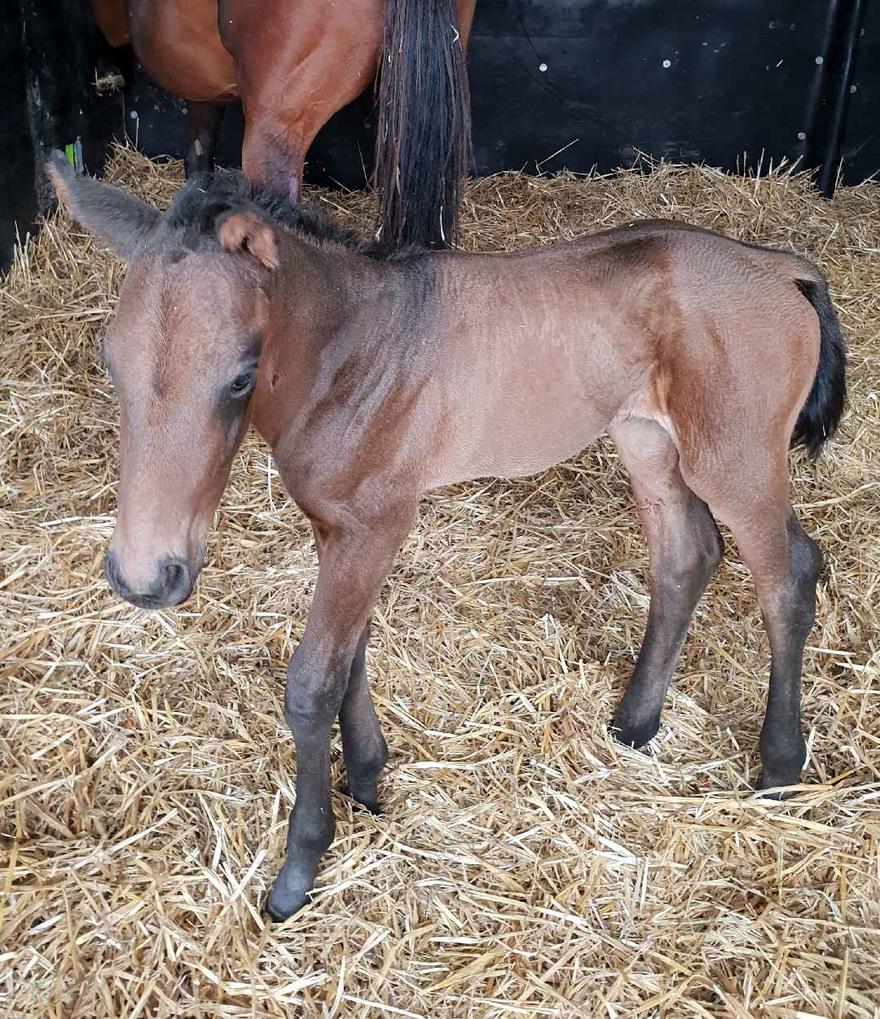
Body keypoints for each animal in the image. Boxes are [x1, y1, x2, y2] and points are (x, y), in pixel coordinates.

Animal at [48, 154, 846, 921]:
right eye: (111, 360)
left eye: (239, 376)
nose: (146, 576)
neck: (351, 351)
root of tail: (780, 265)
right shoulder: (342, 529)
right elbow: (351, 653)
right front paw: (369, 777)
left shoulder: (376, 522)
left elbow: (312, 683)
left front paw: (301, 864)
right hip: (647, 441)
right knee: (686, 555)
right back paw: (635, 722)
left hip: (735, 460)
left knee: (788, 576)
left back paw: (779, 767)